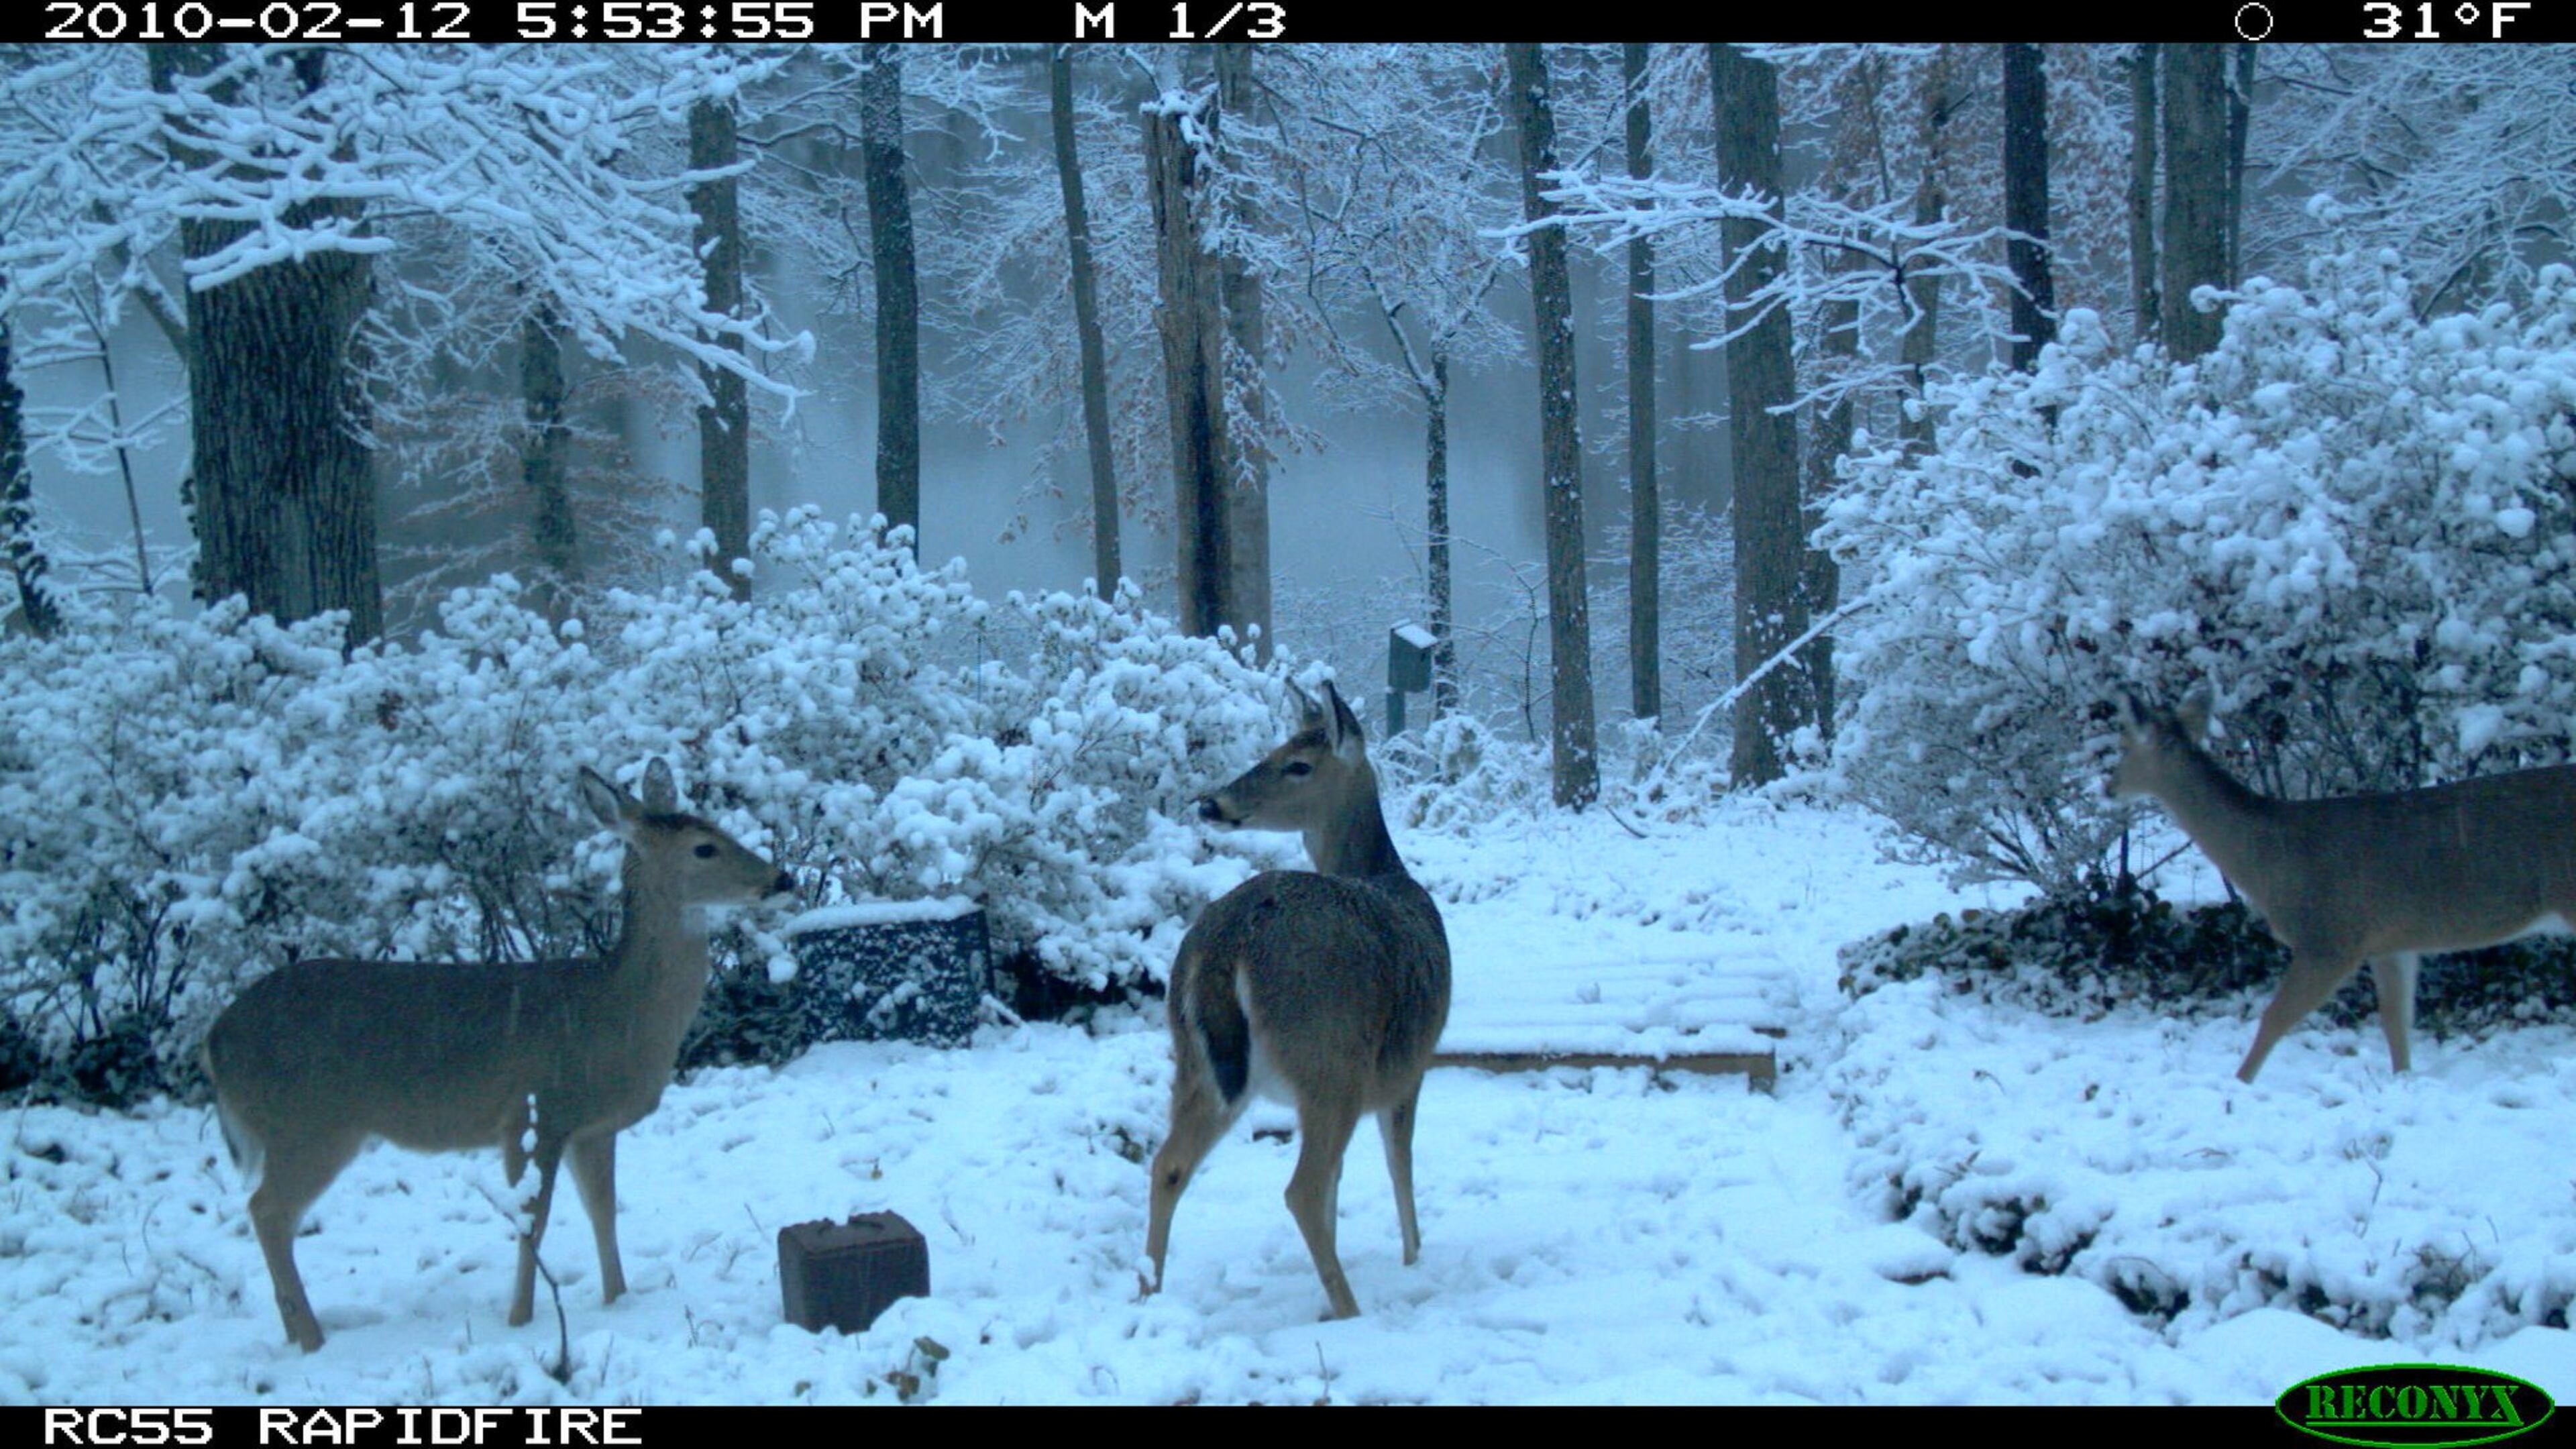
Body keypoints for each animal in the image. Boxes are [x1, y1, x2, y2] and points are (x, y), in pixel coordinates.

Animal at [201, 758, 794, 1351]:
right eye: (704, 848)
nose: (781, 879)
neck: (616, 1013)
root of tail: (213, 1042)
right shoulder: (534, 1112)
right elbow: (534, 1217)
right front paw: (521, 1320)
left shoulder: (593, 1127)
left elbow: (603, 1211)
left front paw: (618, 1301)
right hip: (309, 1124)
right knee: (268, 1211)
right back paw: (313, 1339)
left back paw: (295, 1333)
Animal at [1144, 679, 1452, 1321]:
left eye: (1297, 764)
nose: (1212, 804)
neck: (1385, 874)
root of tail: (1227, 946)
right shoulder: (1410, 1066)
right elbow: (1399, 1164)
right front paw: (1414, 1260)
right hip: (1331, 1061)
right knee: (1302, 1189)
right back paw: (1351, 1312)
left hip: (1200, 1064)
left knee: (1169, 1165)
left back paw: (1147, 1294)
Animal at [2107, 690, 2576, 1084]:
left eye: (2125, 745)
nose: (2108, 786)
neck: (2270, 862)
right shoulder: (2391, 942)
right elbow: (2396, 1022)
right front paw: (2403, 1082)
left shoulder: (2329, 936)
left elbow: (2274, 1018)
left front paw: (2238, 1085)